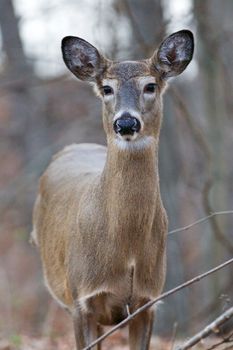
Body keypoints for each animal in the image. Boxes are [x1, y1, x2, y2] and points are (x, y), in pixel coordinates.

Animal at [31, 28, 195, 348]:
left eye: (150, 86)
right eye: (107, 88)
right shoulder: (81, 299)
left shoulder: (148, 299)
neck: (126, 249)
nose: (127, 122)